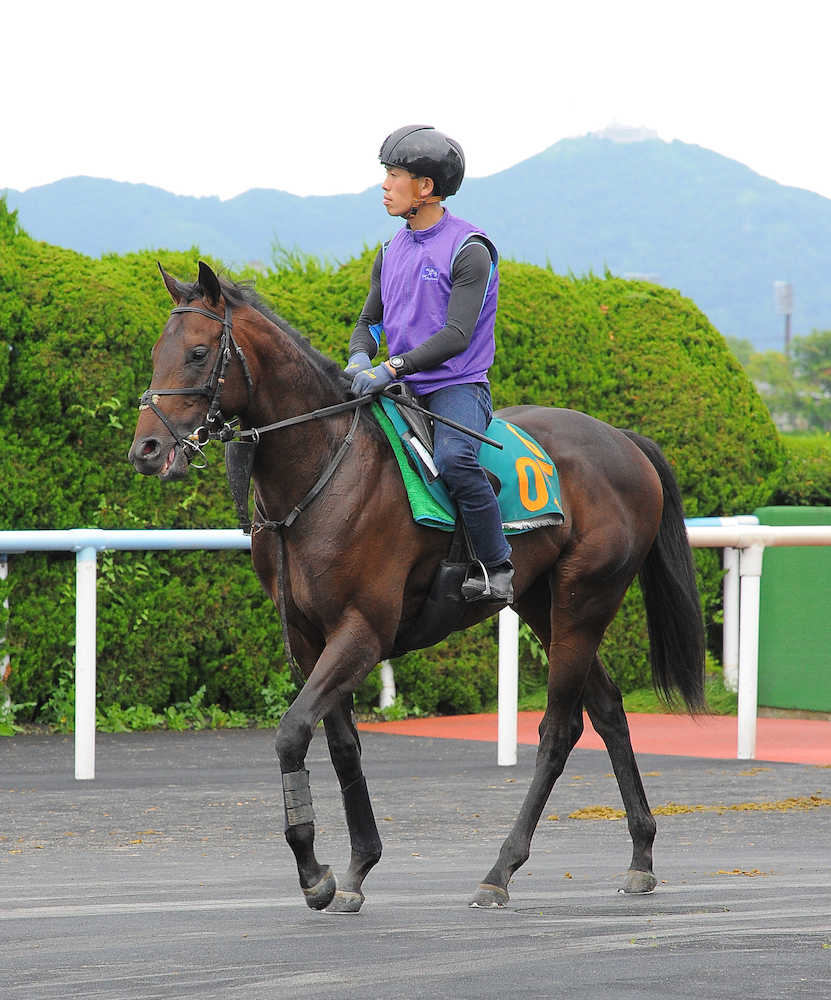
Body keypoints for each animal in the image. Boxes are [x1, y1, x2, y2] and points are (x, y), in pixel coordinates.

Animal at [128, 260, 704, 916]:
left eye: (199, 352)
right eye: (158, 352)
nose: (147, 448)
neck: (323, 471)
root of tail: (625, 440)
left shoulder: (363, 630)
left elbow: (292, 732)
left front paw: (314, 871)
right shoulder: (307, 638)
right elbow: (341, 745)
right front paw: (356, 867)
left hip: (586, 599)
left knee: (560, 730)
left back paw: (501, 870)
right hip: (544, 603)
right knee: (608, 709)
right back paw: (641, 854)